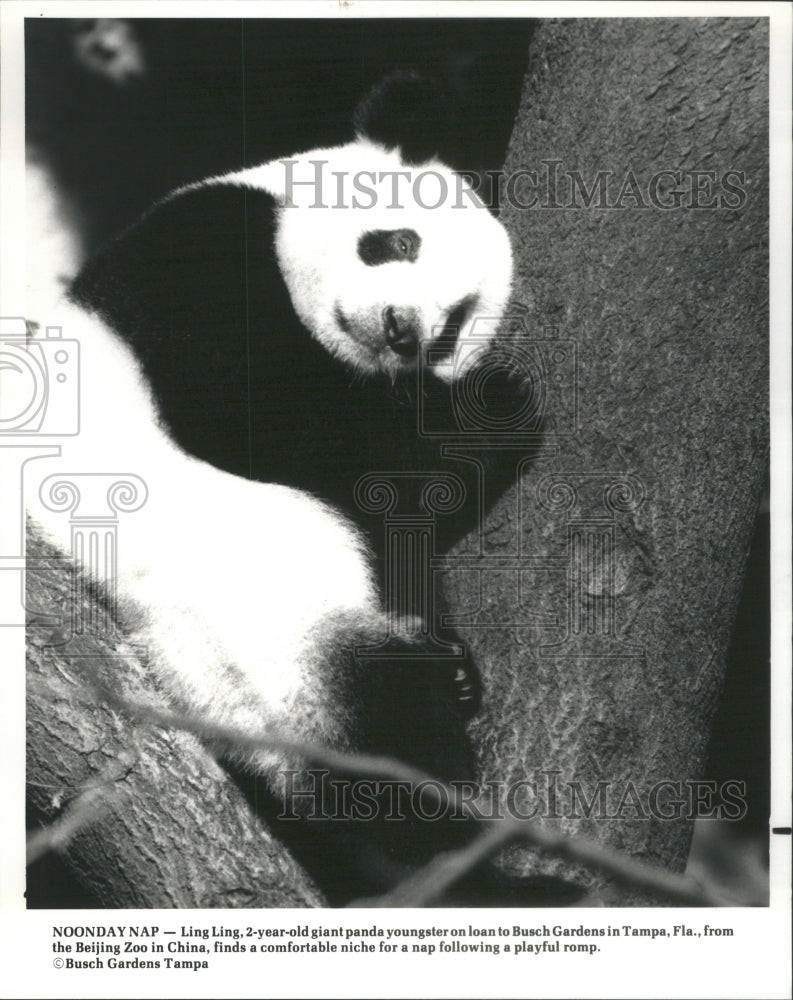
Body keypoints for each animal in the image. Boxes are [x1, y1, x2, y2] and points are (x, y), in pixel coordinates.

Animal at [26, 74, 540, 904]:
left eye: (453, 327)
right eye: (397, 241)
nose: (402, 330)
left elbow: (396, 505)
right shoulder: (197, 261)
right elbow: (282, 427)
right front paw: (494, 411)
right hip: (272, 626)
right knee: (382, 737)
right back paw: (462, 852)